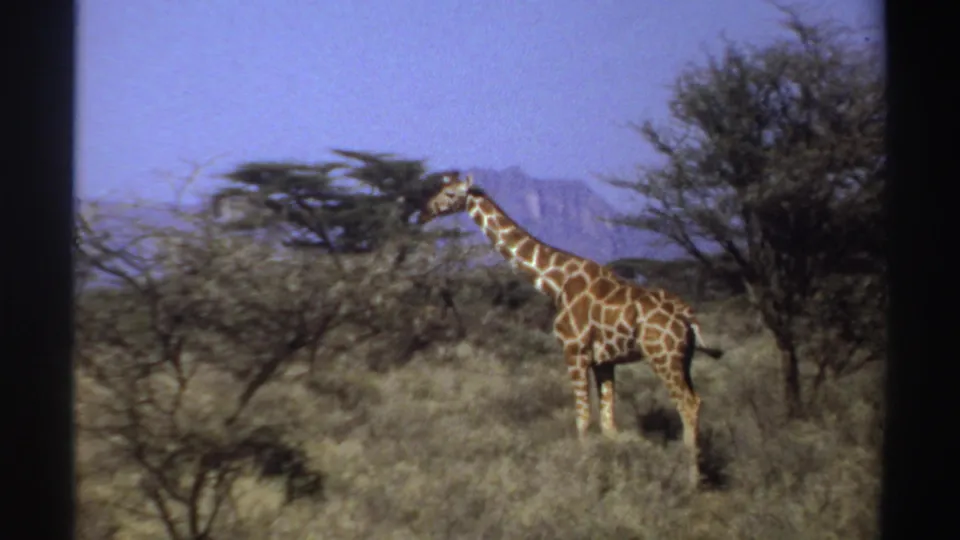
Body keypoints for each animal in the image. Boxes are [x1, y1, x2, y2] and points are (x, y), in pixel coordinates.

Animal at [417, 171, 725, 486]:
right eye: (440, 188)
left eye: (452, 194)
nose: (423, 213)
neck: (556, 282)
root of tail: (688, 317)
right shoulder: (604, 361)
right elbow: (608, 422)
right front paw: (616, 472)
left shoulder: (574, 351)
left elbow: (582, 417)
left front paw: (584, 472)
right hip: (684, 360)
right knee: (697, 401)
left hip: (663, 357)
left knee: (687, 404)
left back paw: (692, 479)